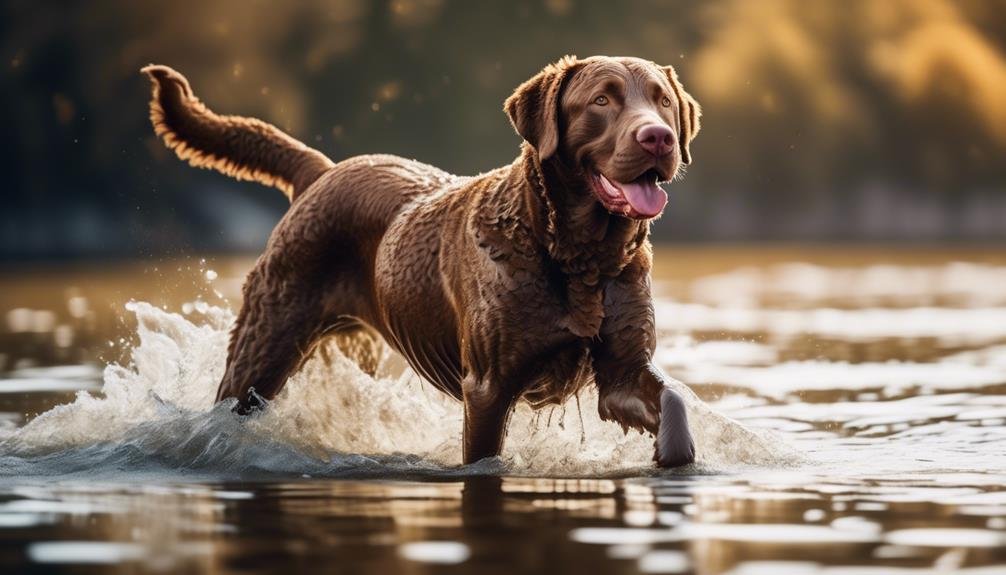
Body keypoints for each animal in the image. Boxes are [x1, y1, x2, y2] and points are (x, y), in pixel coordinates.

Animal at [143, 53, 700, 466]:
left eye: (662, 101)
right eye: (602, 99)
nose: (659, 136)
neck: (580, 258)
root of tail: (322, 171)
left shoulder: (622, 371)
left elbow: (671, 402)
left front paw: (674, 458)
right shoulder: (487, 387)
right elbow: (482, 457)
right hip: (263, 346)